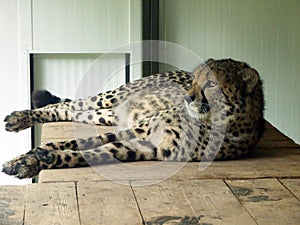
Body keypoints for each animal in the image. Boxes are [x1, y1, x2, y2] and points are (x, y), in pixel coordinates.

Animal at [2, 59, 264, 178]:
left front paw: (38, 159)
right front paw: (26, 158)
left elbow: (87, 152)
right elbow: (77, 143)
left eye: (211, 84)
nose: (187, 97)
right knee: (64, 105)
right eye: (194, 80)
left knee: (74, 112)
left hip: (110, 114)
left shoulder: (146, 147)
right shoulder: (137, 130)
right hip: (110, 99)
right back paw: (18, 119)